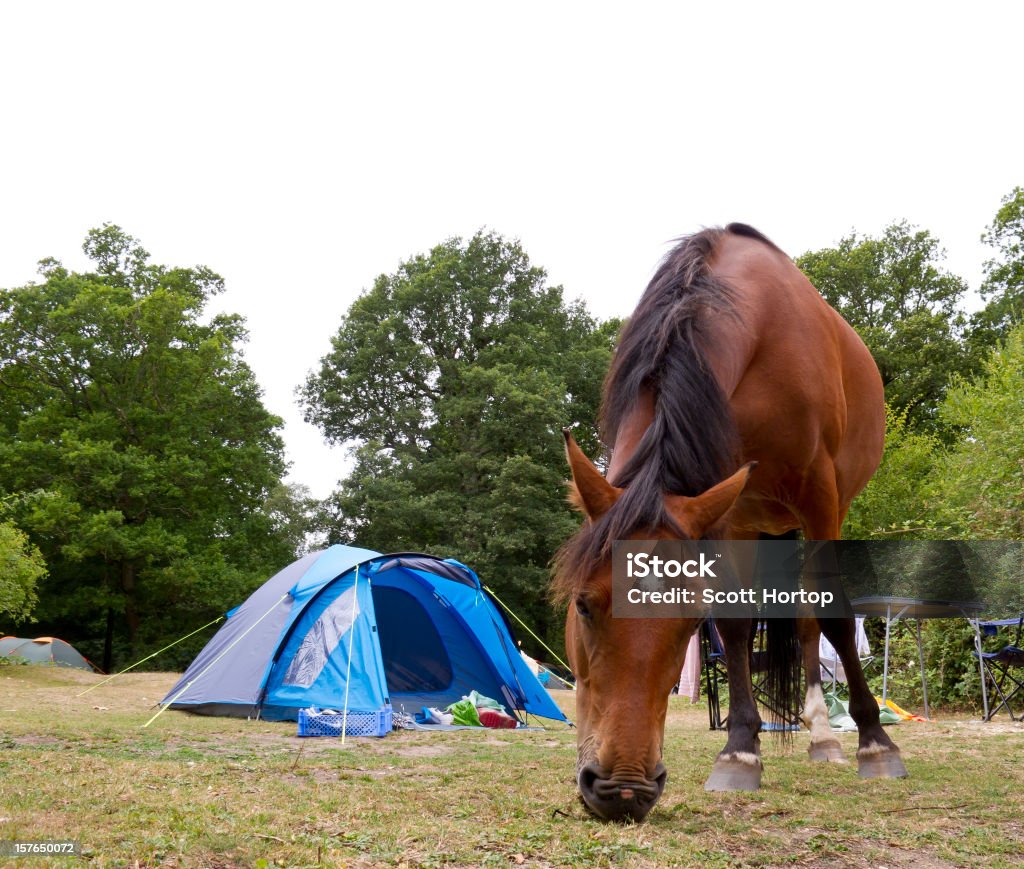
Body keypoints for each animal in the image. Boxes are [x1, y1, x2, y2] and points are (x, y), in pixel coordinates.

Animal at [557, 222, 909, 818]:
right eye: (583, 605)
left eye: (687, 623)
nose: (623, 790)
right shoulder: (722, 514)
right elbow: (737, 624)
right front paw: (741, 749)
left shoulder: (821, 496)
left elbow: (835, 618)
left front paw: (876, 743)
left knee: (812, 619)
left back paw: (825, 736)